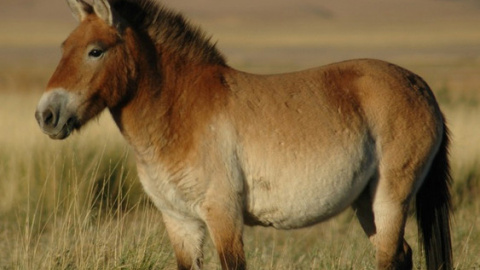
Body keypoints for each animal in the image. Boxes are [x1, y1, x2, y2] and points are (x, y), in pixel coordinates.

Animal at [34, 0, 454, 270]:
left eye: (95, 51)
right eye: (63, 47)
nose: (46, 115)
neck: (180, 113)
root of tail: (421, 87)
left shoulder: (223, 215)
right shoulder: (179, 221)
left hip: (391, 200)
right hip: (366, 203)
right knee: (402, 255)